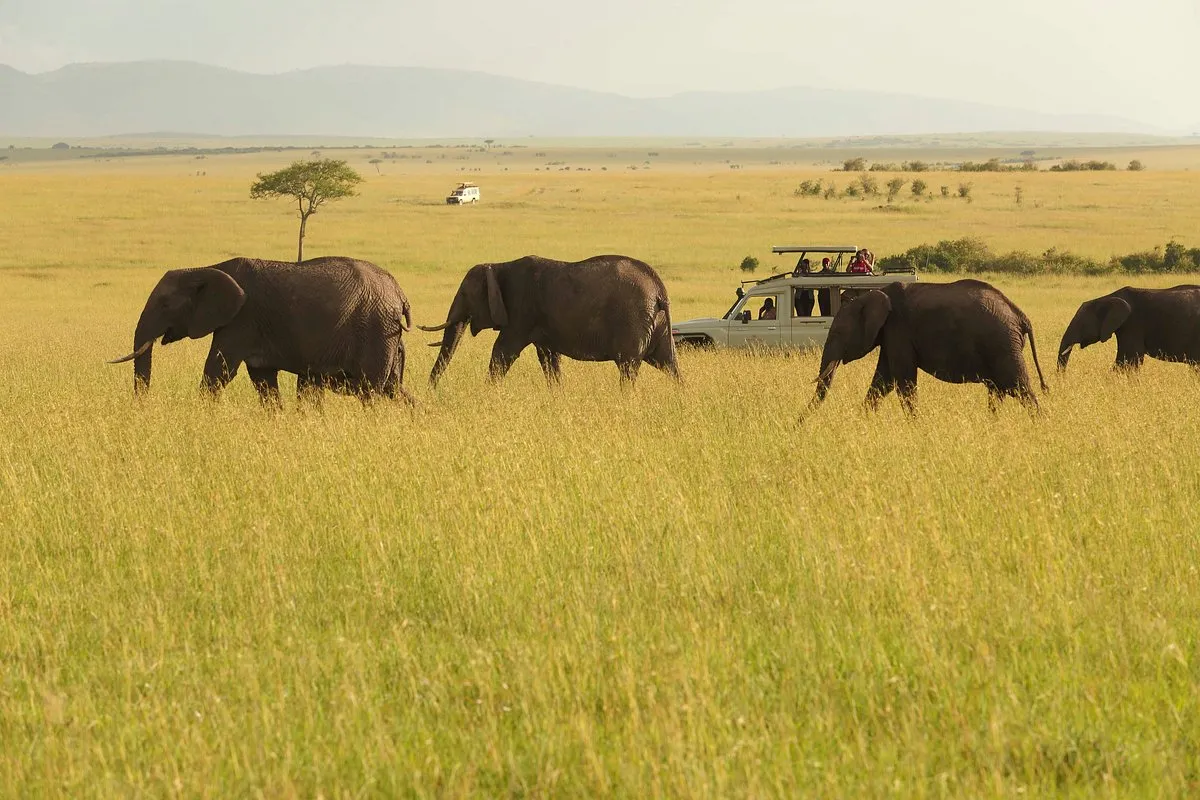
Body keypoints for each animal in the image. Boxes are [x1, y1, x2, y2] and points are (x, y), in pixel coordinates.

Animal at [113, 257, 412, 407]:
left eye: (165, 304)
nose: (143, 408)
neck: (207, 268)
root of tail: (401, 294)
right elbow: (262, 379)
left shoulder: (242, 319)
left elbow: (219, 371)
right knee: (393, 389)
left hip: (376, 329)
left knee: (372, 390)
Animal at [420, 253, 681, 383]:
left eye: (465, 294)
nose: (431, 391)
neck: (498, 266)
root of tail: (660, 290)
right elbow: (548, 357)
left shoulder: (522, 310)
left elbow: (502, 351)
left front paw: (488, 392)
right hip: (654, 324)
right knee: (668, 364)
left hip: (633, 320)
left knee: (628, 367)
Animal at [806, 278, 1051, 412]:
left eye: (838, 333)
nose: (800, 423)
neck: (873, 294)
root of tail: (1020, 314)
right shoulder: (891, 335)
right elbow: (882, 382)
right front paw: (863, 420)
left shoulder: (899, 329)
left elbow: (902, 381)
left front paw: (916, 425)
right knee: (998, 390)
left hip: (1002, 344)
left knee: (1019, 387)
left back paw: (1039, 423)